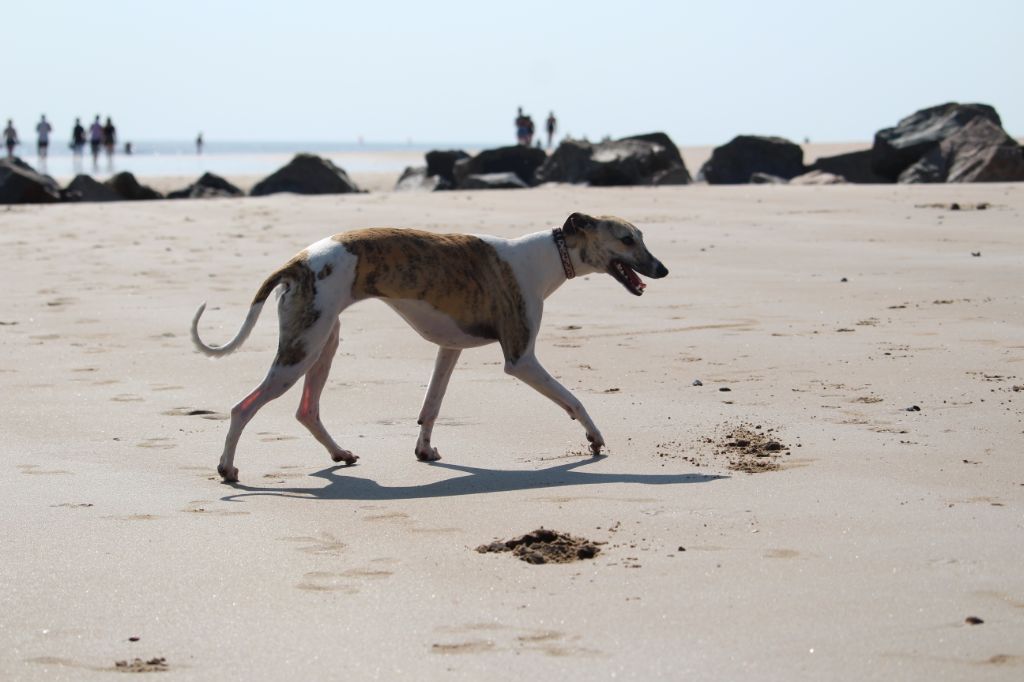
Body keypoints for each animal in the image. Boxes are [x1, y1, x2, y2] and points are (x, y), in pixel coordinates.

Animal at [190, 209, 671, 481]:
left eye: (642, 236)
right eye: (627, 239)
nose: (664, 270)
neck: (545, 257)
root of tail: (297, 261)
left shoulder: (449, 348)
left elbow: (431, 406)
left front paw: (424, 451)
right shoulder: (521, 359)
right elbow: (573, 399)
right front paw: (595, 439)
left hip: (322, 341)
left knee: (307, 409)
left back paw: (340, 453)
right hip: (301, 350)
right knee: (242, 407)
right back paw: (227, 469)